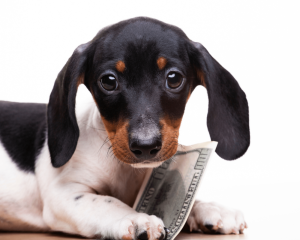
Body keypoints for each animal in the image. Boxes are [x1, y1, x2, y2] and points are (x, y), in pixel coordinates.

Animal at [0, 16, 248, 238]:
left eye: (174, 78)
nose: (146, 145)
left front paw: (210, 208)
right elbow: (106, 202)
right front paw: (135, 218)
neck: (127, 172)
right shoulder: (63, 193)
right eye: (109, 81)